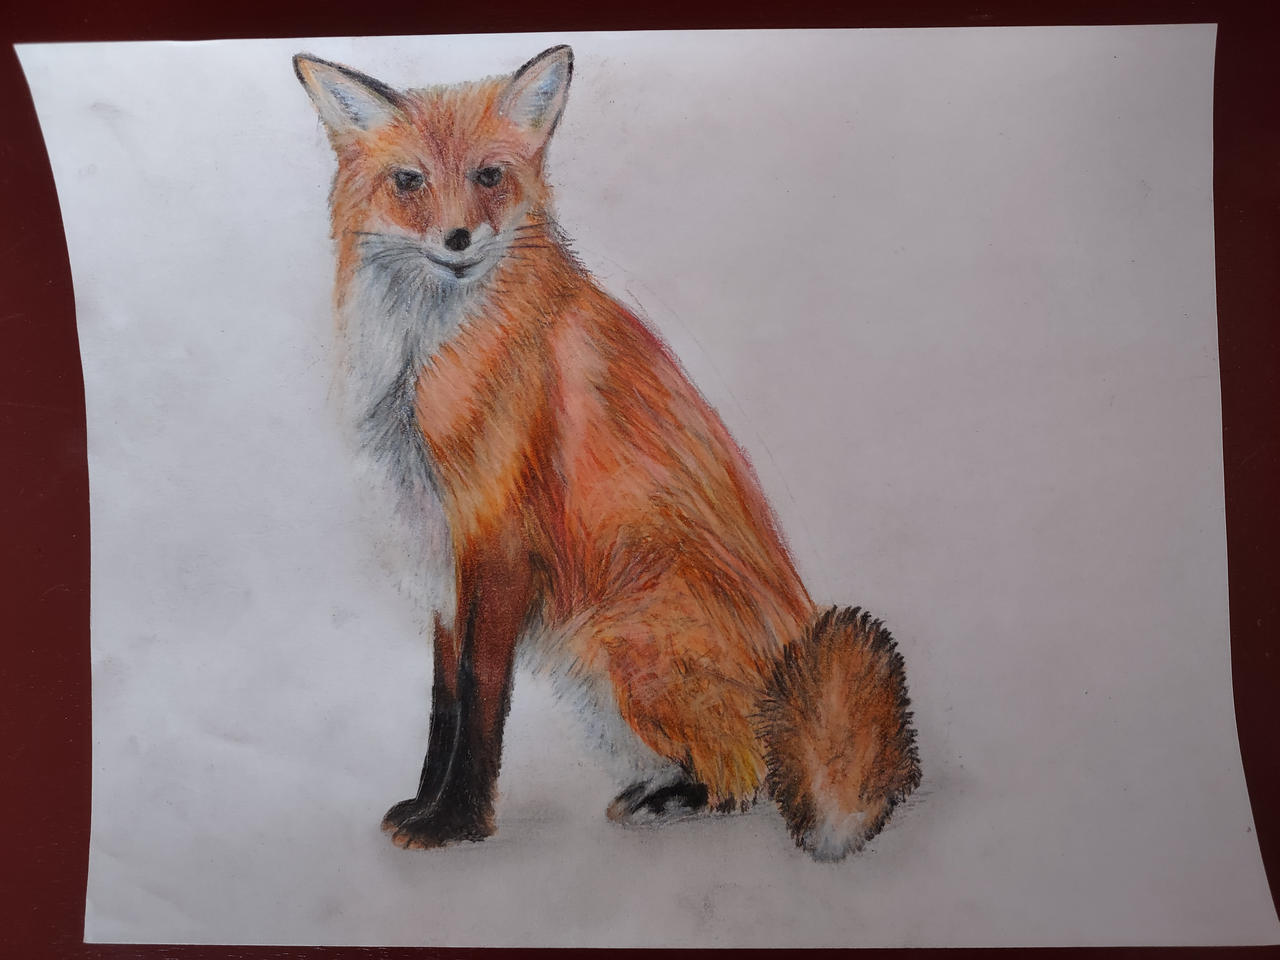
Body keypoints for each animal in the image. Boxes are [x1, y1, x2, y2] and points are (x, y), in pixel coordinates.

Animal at [294, 45, 920, 861]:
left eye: (488, 176)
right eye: (409, 182)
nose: (459, 240)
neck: (419, 365)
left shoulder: (497, 538)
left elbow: (479, 697)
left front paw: (457, 823)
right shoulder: (442, 551)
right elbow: (443, 702)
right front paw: (426, 806)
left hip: (626, 642)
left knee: (750, 776)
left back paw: (677, 800)